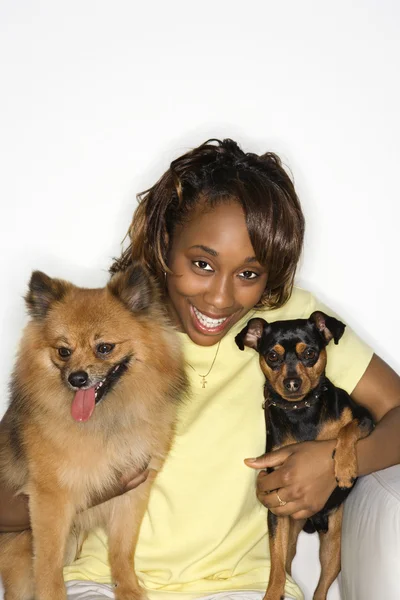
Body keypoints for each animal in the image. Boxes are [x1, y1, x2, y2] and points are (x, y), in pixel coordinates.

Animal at [0, 264, 188, 600]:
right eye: (63, 351)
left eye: (104, 348)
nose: (77, 378)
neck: (106, 421)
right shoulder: (50, 498)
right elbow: (47, 565)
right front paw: (53, 596)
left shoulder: (132, 492)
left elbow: (122, 551)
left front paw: (129, 590)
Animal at [236, 312, 374, 600]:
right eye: (272, 356)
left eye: (310, 353)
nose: (292, 383)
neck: (301, 410)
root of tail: (313, 521)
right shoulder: (276, 515)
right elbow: (276, 567)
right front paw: (272, 594)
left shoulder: (365, 419)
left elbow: (346, 429)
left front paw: (344, 468)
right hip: (291, 533)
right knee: (286, 563)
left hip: (333, 548)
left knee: (321, 588)